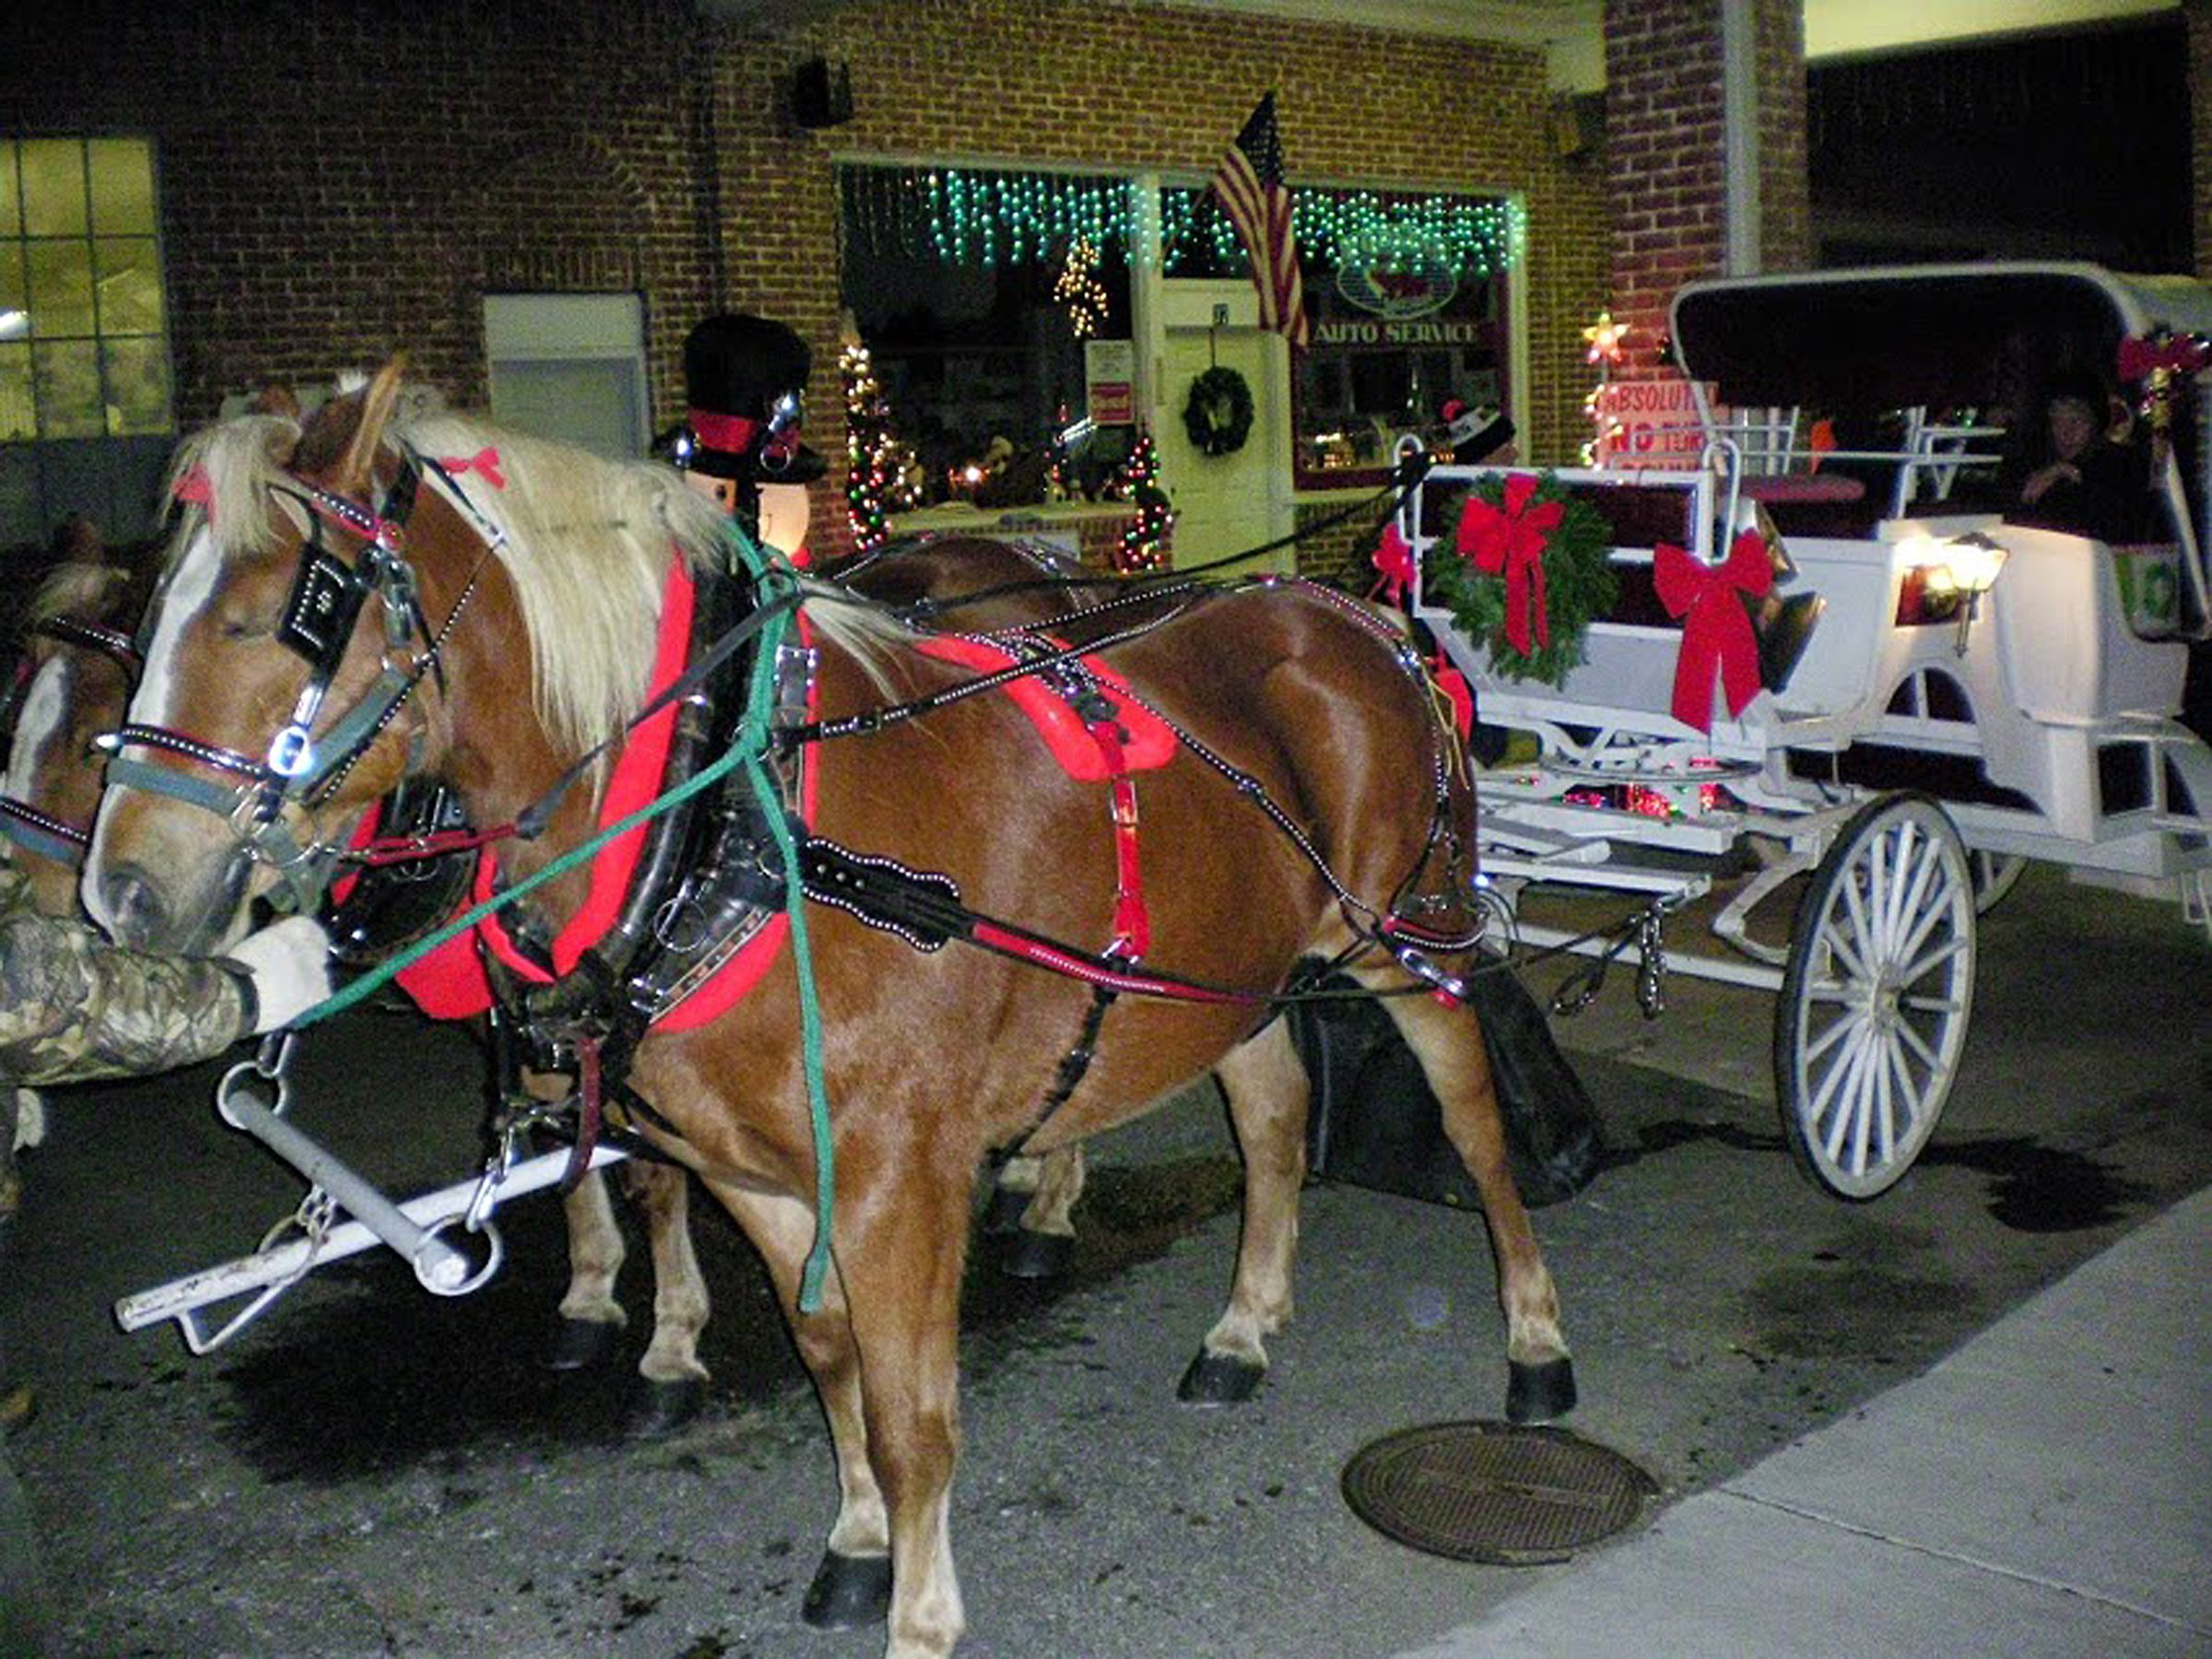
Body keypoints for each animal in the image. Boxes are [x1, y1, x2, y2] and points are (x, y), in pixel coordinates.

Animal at [86, 373, 1574, 1659]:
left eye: (283, 611)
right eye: (144, 620)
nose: (122, 891)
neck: (727, 817)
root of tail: (1347, 612)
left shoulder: (897, 1180)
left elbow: (916, 1414)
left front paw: (922, 1613)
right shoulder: (757, 1171)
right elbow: (829, 1359)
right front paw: (860, 1543)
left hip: (1408, 939)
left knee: (1474, 1125)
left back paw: (1536, 1344)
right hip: (1235, 972)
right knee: (1269, 1124)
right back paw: (1245, 1326)